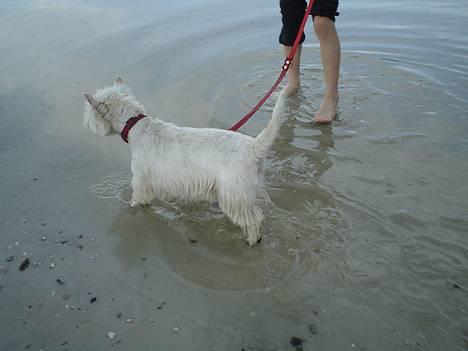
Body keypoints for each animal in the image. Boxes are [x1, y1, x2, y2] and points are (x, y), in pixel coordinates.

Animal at [84, 78, 288, 246]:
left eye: (89, 113)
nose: (87, 125)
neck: (135, 126)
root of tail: (254, 147)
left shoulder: (141, 180)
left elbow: (138, 198)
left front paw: (133, 206)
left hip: (234, 194)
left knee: (255, 219)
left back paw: (252, 241)